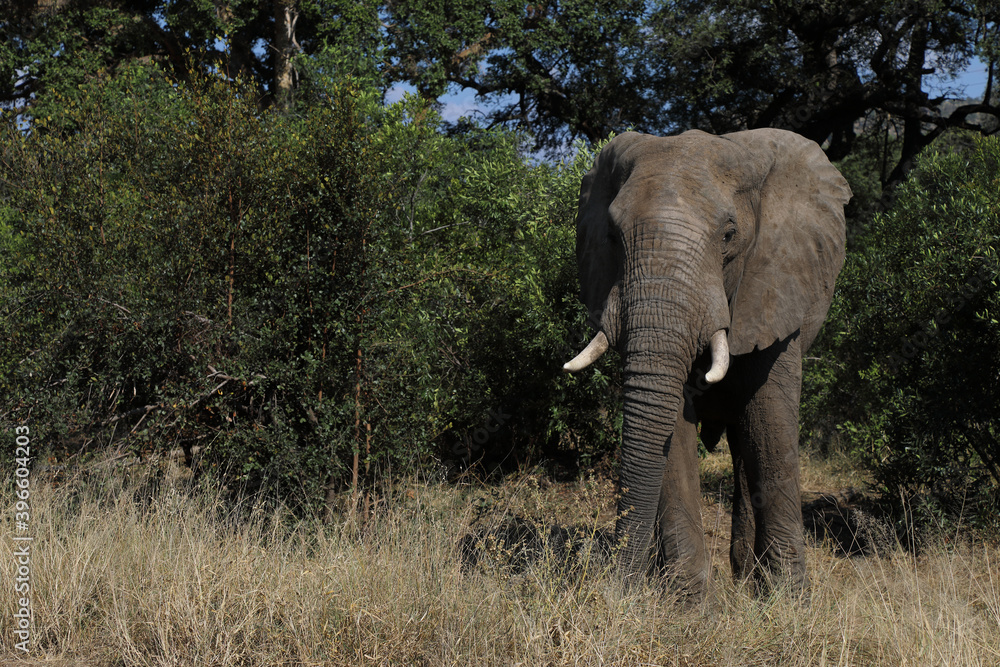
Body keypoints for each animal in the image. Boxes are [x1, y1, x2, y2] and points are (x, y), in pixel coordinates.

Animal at [562, 128, 851, 597]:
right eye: (611, 234)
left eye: (729, 234)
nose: (613, 588)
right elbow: (671, 429)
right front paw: (690, 605)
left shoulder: (774, 283)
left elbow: (770, 421)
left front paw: (790, 601)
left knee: (747, 442)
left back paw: (751, 581)